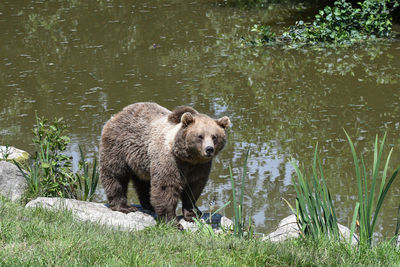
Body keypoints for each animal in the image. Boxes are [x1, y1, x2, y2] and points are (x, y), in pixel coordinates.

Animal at [100, 103, 231, 223]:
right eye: (200, 136)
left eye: (214, 136)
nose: (209, 149)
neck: (188, 158)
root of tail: (118, 114)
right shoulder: (171, 161)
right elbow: (166, 188)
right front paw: (172, 221)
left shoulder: (200, 167)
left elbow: (194, 188)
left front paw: (192, 213)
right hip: (118, 147)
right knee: (115, 175)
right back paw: (124, 206)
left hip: (142, 162)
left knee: (144, 183)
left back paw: (148, 205)